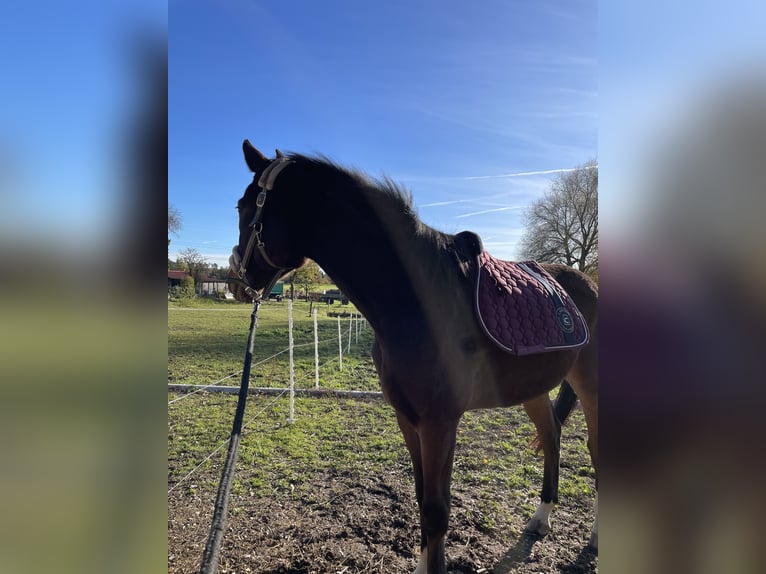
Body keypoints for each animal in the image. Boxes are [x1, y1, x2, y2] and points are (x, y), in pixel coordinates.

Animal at [227, 141, 598, 574]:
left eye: (244, 206)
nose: (236, 282)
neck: (416, 301)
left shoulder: (441, 422)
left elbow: (437, 510)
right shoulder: (408, 417)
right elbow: (423, 500)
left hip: (591, 386)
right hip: (533, 389)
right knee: (552, 434)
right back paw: (541, 519)